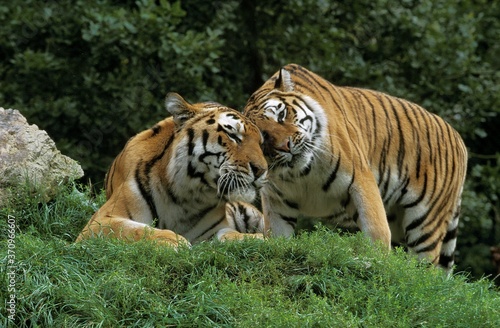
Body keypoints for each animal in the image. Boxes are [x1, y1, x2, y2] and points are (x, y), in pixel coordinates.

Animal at [76, 92, 268, 246]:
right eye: (233, 135)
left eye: (260, 143)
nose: (262, 170)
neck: (185, 197)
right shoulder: (101, 221)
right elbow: (138, 230)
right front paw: (174, 241)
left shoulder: (215, 230)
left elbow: (230, 234)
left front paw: (258, 239)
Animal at [245, 62, 468, 270]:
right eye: (263, 138)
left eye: (281, 115)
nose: (286, 146)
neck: (301, 173)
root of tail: (458, 138)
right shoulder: (276, 202)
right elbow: (277, 237)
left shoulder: (360, 179)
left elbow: (376, 230)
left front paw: (377, 263)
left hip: (425, 222)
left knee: (427, 271)